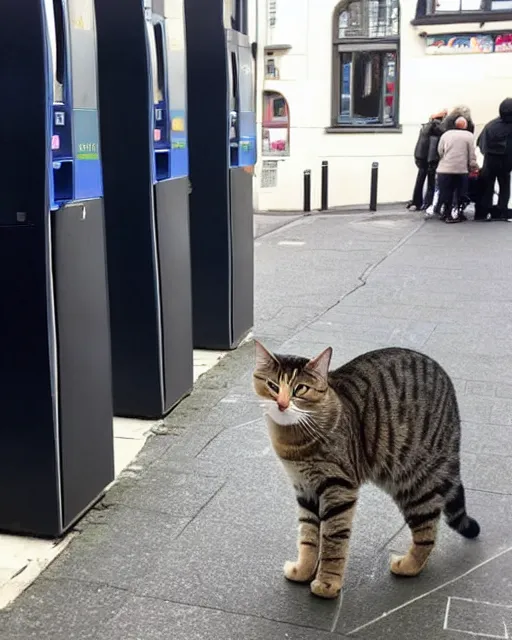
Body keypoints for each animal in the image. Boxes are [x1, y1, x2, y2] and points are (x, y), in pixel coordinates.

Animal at [254, 342, 482, 596]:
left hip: (412, 481)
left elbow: (333, 539)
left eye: (300, 389)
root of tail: (448, 386)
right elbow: (309, 536)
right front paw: (304, 569)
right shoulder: (305, 490)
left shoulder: (338, 488)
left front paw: (327, 583)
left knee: (428, 528)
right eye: (273, 386)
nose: (282, 404)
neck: (295, 440)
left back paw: (410, 564)